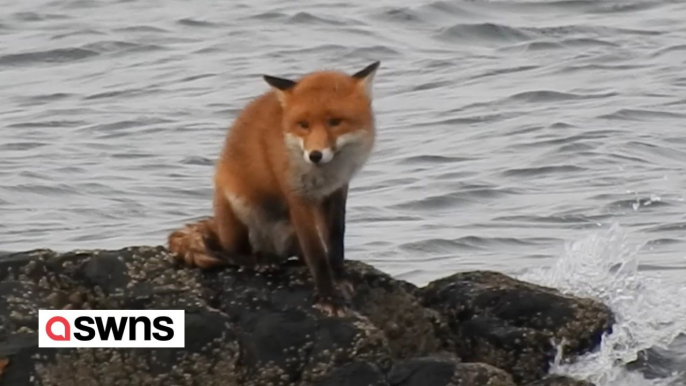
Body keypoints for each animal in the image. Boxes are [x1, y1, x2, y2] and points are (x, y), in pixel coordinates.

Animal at [167, 61, 382, 314]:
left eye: (335, 122)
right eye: (304, 125)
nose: (315, 155)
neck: (325, 174)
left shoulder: (337, 191)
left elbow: (336, 239)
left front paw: (339, 276)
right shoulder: (297, 197)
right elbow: (317, 254)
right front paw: (328, 297)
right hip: (237, 209)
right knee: (231, 253)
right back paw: (260, 261)